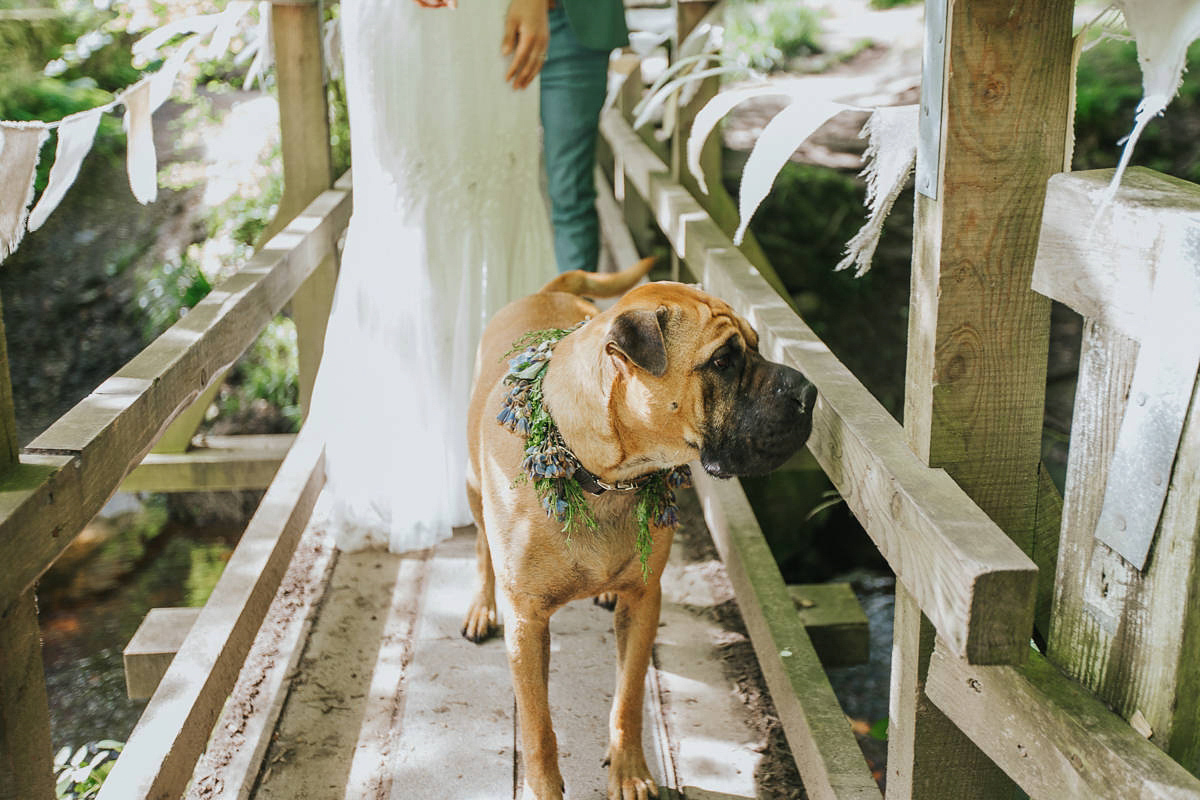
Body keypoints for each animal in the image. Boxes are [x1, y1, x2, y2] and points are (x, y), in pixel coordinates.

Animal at [458, 257, 816, 800]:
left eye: (755, 346)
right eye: (723, 361)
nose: (809, 393)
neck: (602, 477)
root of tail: (547, 291)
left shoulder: (646, 601)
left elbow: (628, 697)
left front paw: (630, 771)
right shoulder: (527, 623)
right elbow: (539, 727)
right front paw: (546, 784)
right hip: (474, 485)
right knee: (480, 545)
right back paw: (481, 605)